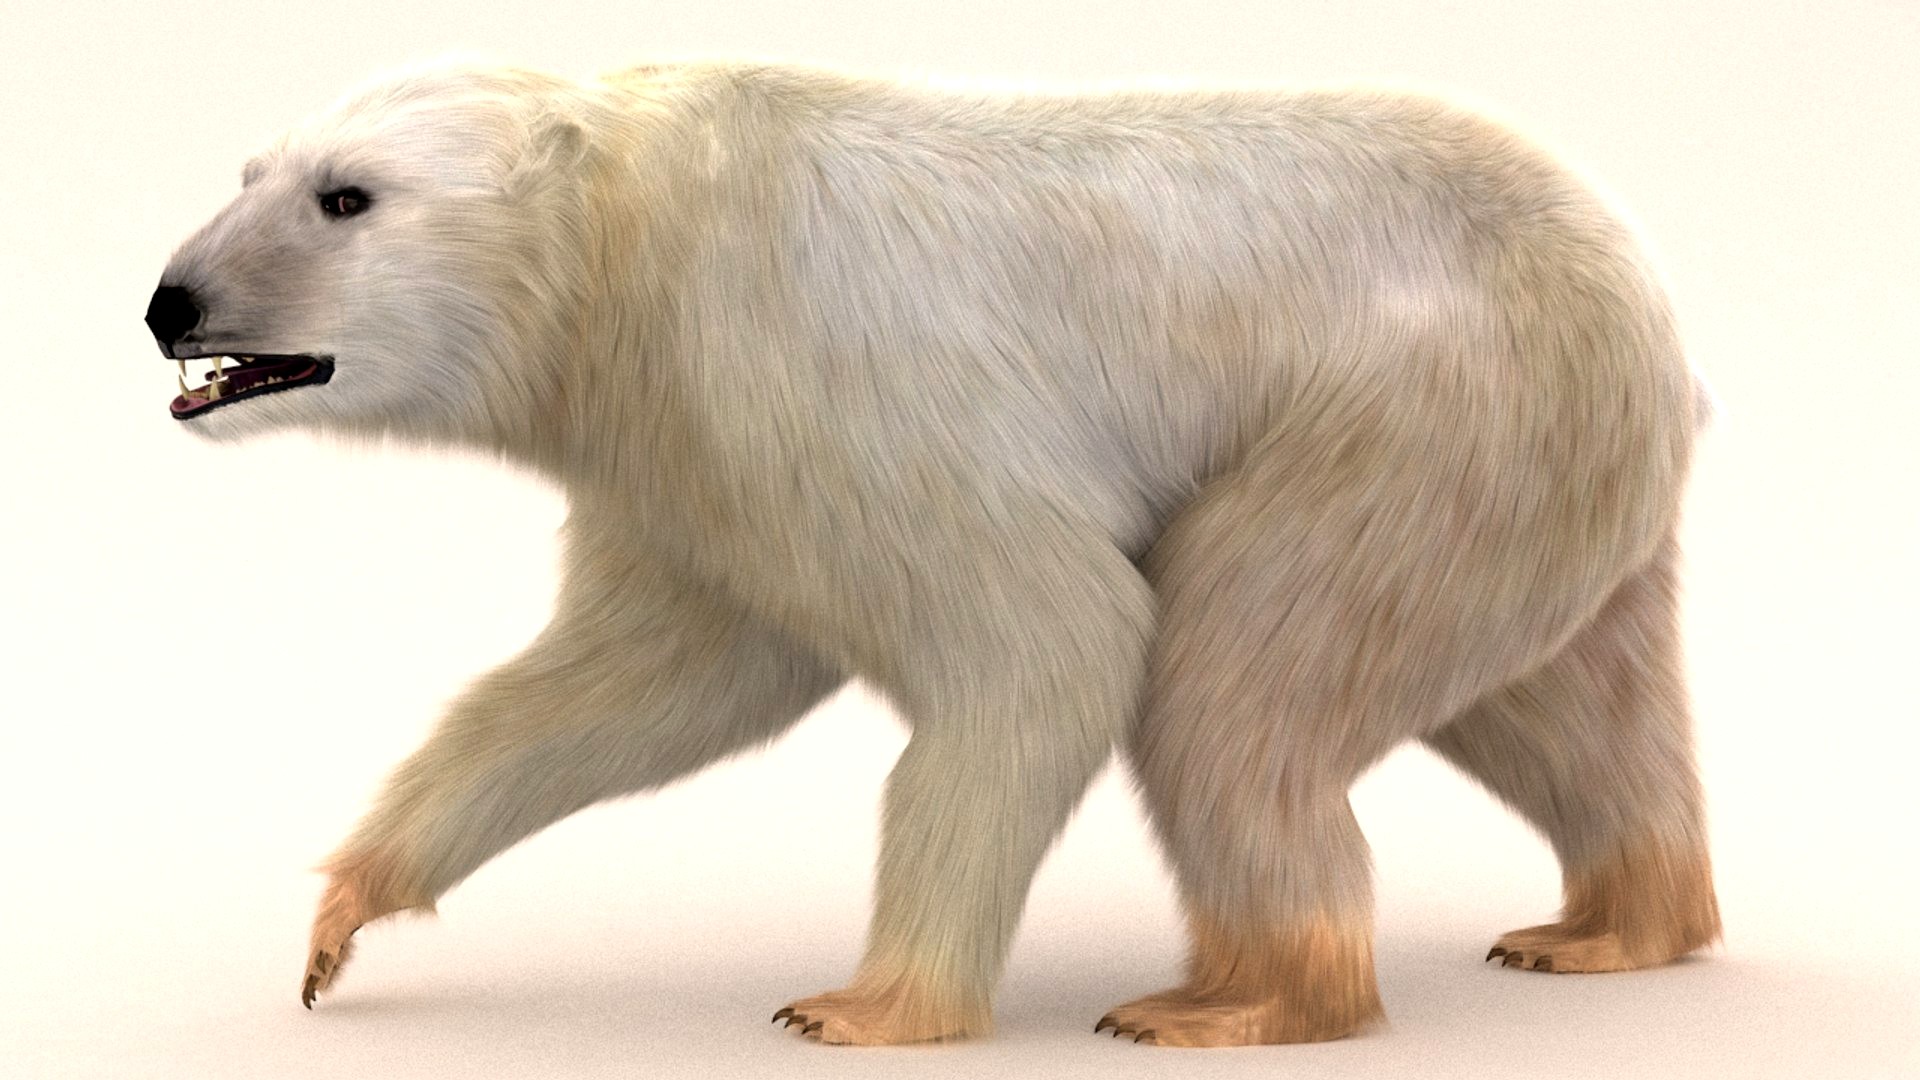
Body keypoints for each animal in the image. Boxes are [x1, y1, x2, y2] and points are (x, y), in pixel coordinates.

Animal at [145, 58, 1721, 1047]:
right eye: (250, 166)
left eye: (346, 195)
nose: (171, 301)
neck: (630, 234)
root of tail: (1653, 311)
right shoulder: (679, 447)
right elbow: (645, 679)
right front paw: (343, 910)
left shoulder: (794, 355)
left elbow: (1045, 633)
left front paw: (863, 1005)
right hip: (1534, 468)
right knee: (1564, 695)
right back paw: (1615, 923)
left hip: (1419, 406)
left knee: (1233, 681)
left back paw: (1237, 997)